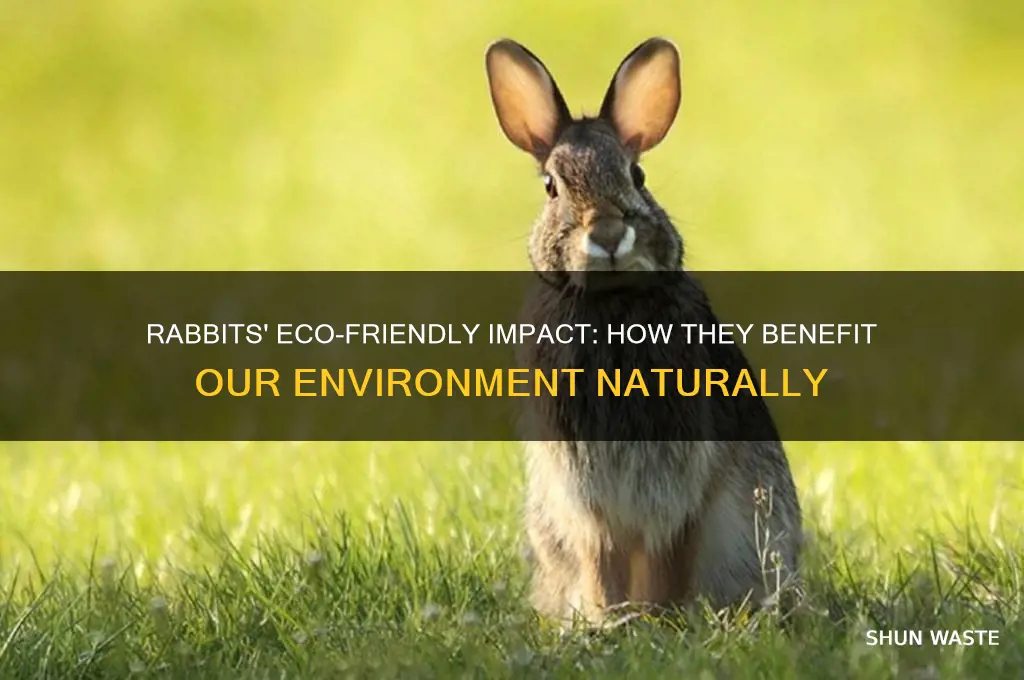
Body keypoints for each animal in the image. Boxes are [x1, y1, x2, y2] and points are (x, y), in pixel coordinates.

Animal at [484, 37, 803, 625]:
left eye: (638, 177)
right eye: (551, 187)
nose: (609, 233)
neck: (612, 302)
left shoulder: (677, 487)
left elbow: (666, 553)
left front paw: (656, 617)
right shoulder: (584, 496)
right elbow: (601, 558)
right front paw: (609, 618)